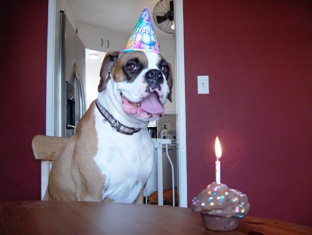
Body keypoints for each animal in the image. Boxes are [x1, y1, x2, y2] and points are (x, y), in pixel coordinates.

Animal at [45, 50, 173, 203]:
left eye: (164, 68)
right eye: (131, 66)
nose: (156, 74)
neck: (126, 129)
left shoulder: (139, 194)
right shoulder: (90, 195)